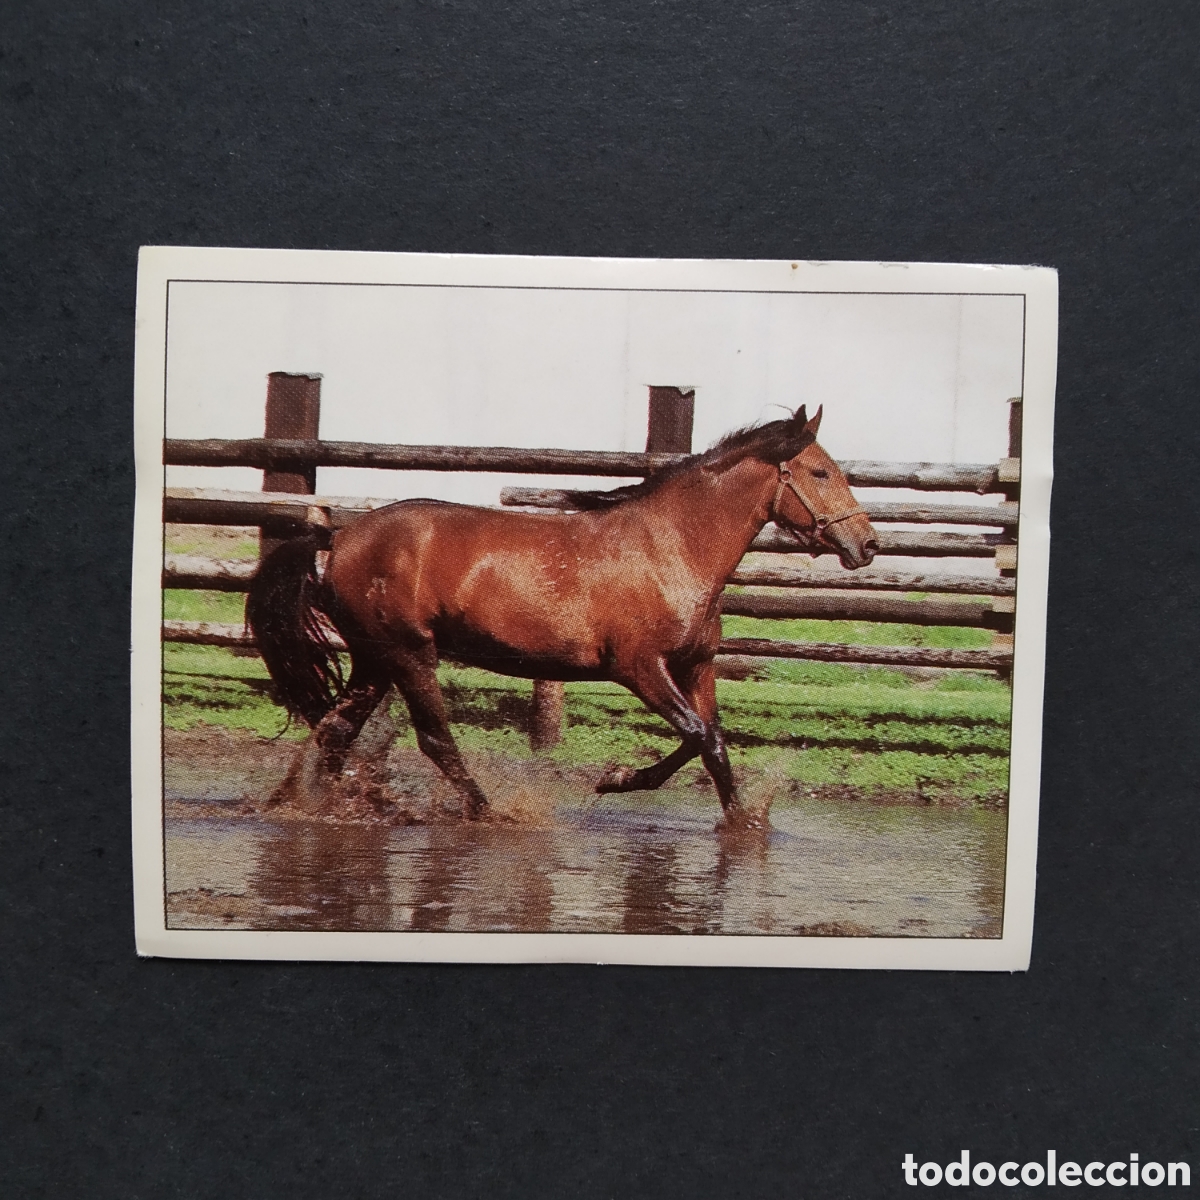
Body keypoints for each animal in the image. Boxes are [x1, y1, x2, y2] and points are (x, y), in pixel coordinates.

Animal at [246, 405, 878, 828]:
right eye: (821, 472)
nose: (867, 545)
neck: (670, 549)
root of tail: (340, 536)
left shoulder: (696, 667)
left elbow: (711, 741)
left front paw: (737, 821)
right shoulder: (639, 668)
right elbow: (701, 735)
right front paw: (624, 782)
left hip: (375, 659)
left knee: (335, 731)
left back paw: (315, 804)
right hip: (408, 653)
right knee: (434, 739)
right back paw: (488, 812)